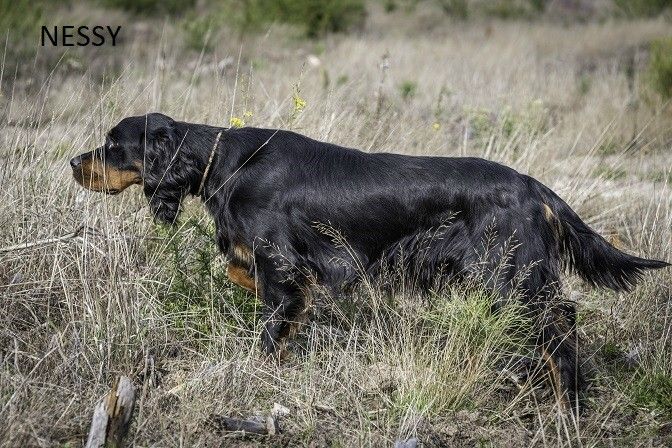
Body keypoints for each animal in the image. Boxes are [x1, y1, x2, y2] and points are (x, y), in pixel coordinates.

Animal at [68, 114, 668, 412]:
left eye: (112, 144)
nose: (75, 162)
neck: (222, 162)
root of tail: (531, 184)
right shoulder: (281, 271)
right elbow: (253, 286)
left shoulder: (282, 267)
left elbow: (269, 325)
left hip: (511, 274)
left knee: (561, 322)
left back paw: (567, 404)